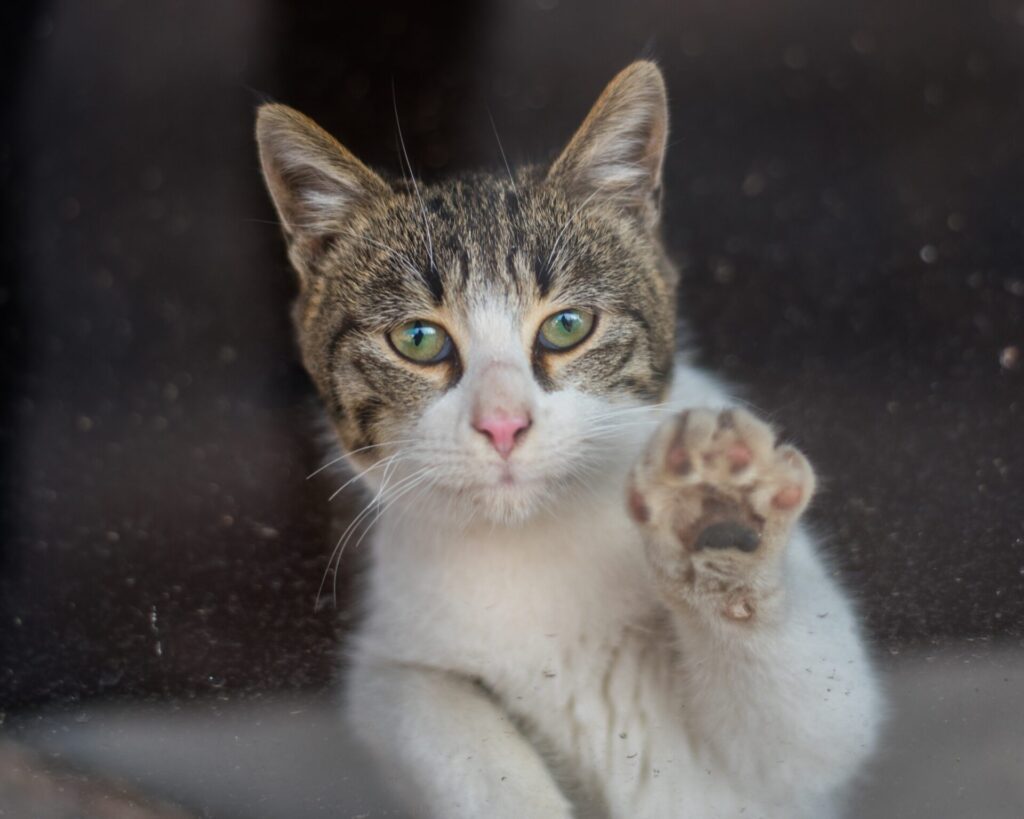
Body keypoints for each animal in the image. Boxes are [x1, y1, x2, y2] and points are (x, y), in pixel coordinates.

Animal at [253, 63, 880, 818]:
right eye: (418, 338)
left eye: (567, 325)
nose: (502, 423)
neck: (539, 546)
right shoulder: (392, 665)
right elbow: (449, 726)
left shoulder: (780, 772)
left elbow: (814, 724)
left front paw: (715, 518)